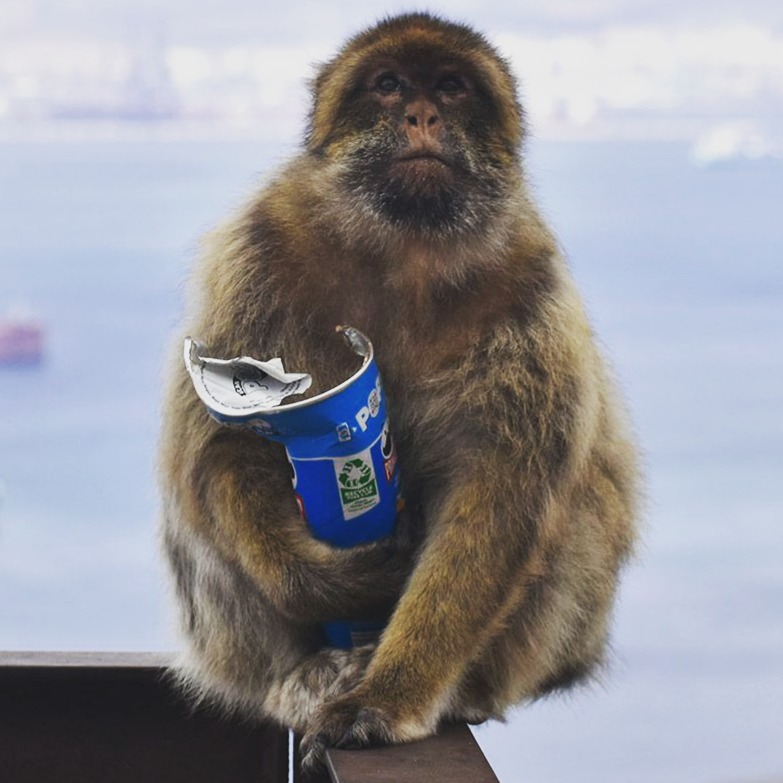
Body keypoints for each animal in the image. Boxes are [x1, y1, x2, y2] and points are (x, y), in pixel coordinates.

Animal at [158, 11, 640, 772]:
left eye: (451, 86)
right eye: (387, 85)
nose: (421, 115)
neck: (406, 248)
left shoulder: (530, 288)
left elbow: (499, 493)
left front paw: (389, 697)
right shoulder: (256, 250)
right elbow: (224, 444)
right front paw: (337, 581)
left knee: (583, 500)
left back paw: (458, 688)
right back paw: (309, 670)